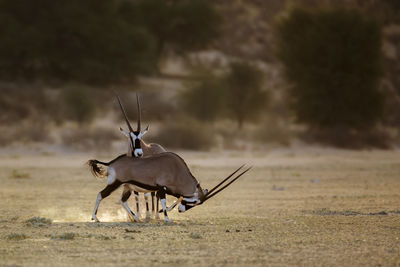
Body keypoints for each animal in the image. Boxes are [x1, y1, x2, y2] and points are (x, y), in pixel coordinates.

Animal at [88, 154, 250, 223]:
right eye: (195, 202)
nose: (181, 211)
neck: (177, 169)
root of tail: (111, 163)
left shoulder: (170, 190)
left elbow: (177, 198)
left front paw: (163, 213)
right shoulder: (162, 188)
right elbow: (164, 202)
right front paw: (166, 218)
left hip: (127, 187)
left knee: (123, 200)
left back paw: (135, 218)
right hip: (115, 183)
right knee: (100, 195)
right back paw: (95, 218)